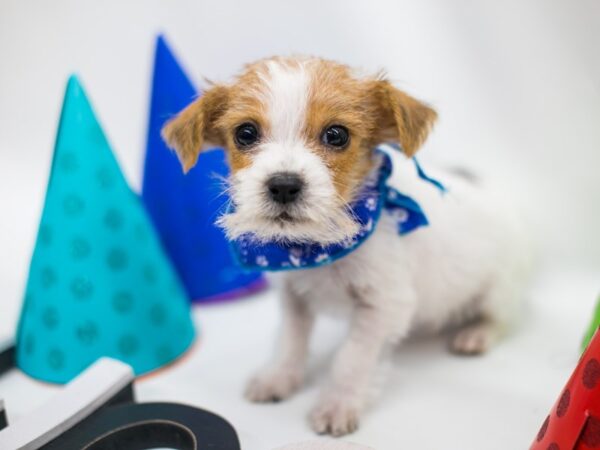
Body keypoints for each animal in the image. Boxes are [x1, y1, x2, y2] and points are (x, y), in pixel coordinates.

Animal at [161, 56, 528, 436]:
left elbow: (352, 358)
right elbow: (290, 342)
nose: (283, 185)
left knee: (506, 318)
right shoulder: (292, 297)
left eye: (336, 135)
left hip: (498, 292)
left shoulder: (381, 305)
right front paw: (278, 378)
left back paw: (476, 335)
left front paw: (337, 405)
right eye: (245, 133)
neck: (315, 248)